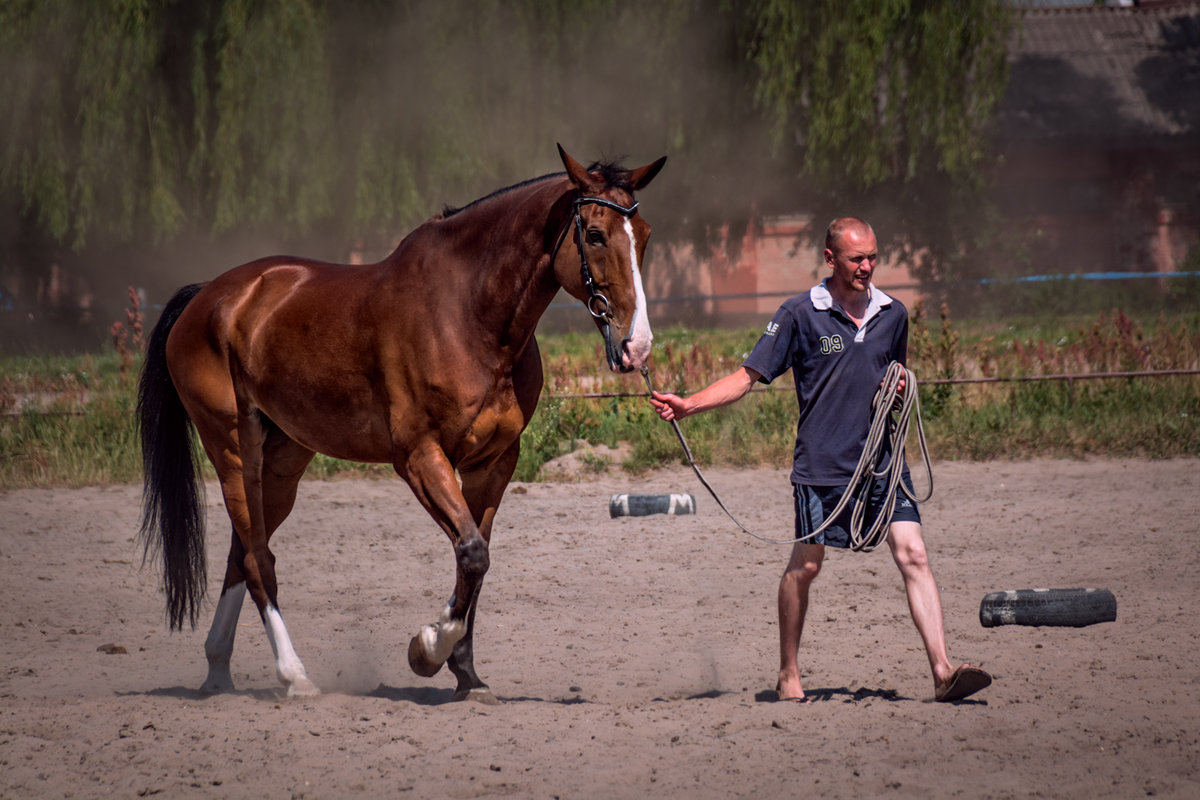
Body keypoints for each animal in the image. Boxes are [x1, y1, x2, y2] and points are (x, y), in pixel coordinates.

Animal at [140, 143, 672, 700]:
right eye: (594, 234)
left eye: (645, 235)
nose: (637, 345)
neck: (468, 315)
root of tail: (210, 296)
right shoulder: (420, 457)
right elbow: (472, 553)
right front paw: (428, 648)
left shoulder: (493, 463)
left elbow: (474, 561)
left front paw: (465, 673)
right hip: (231, 447)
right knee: (258, 560)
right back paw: (294, 676)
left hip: (283, 458)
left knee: (243, 551)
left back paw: (218, 669)